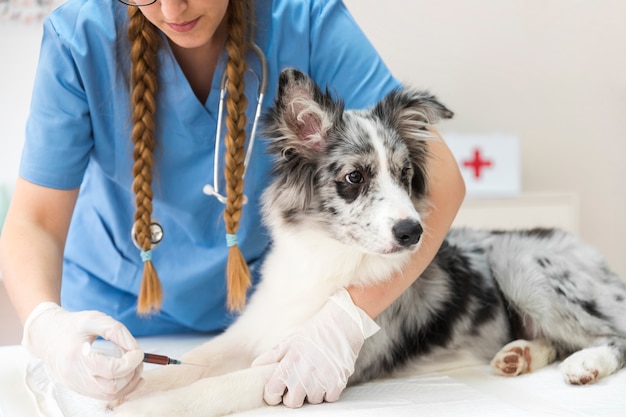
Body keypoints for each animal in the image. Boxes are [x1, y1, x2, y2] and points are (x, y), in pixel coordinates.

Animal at [111, 66, 624, 414]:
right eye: (355, 177)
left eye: (405, 175)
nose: (413, 233)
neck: (328, 255)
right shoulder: (253, 330)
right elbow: (195, 360)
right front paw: (128, 379)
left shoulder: (306, 369)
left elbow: (213, 386)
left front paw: (144, 407)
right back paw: (520, 354)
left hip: (523, 266)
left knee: (613, 335)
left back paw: (585, 365)